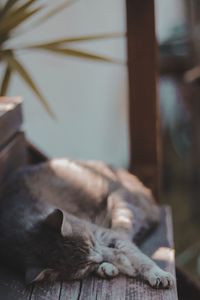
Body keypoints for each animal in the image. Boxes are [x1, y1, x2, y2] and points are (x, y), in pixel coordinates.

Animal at [0, 159, 174, 288]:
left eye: (91, 242)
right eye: (85, 267)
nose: (99, 258)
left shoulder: (103, 233)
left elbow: (135, 255)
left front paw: (156, 273)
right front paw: (114, 263)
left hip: (122, 205)